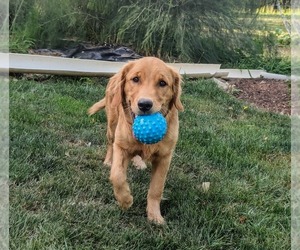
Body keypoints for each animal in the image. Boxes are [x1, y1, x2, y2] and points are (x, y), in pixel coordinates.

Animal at [88, 56, 184, 225]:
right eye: (135, 79)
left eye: (162, 83)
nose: (144, 104)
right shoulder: (121, 147)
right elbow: (117, 176)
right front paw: (125, 200)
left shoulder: (165, 157)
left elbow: (156, 189)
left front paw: (154, 215)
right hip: (112, 126)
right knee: (110, 144)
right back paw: (108, 160)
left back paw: (139, 162)